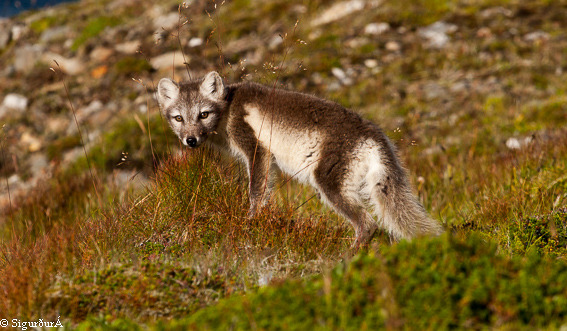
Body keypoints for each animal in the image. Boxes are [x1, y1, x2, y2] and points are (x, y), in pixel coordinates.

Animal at [155, 72, 444, 249]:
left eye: (204, 114)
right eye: (178, 118)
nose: (191, 140)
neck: (228, 108)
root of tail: (374, 136)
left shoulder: (257, 149)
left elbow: (256, 192)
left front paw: (250, 224)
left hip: (329, 183)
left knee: (368, 225)